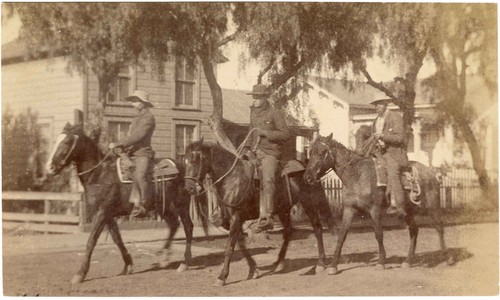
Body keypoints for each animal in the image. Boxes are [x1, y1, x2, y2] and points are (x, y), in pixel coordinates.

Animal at [45, 123, 205, 284]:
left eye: (66, 142)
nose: (49, 167)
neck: (100, 174)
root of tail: (184, 169)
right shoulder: (108, 215)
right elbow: (117, 239)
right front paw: (128, 265)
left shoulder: (102, 213)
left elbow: (91, 241)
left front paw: (80, 274)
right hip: (163, 207)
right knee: (173, 225)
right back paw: (164, 257)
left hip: (181, 205)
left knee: (188, 227)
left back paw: (184, 263)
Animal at [184, 139, 336, 288]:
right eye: (184, 160)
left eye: (194, 160)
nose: (189, 188)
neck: (233, 178)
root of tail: (308, 167)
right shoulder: (233, 220)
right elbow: (240, 245)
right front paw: (253, 269)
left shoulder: (236, 218)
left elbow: (229, 247)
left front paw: (222, 277)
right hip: (283, 210)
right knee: (288, 232)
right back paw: (279, 263)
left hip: (309, 203)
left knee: (317, 228)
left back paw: (320, 263)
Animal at [302, 135, 452, 276]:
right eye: (311, 152)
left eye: (322, 152)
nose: (307, 177)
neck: (357, 176)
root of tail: (431, 172)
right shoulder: (349, 209)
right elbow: (342, 235)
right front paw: (333, 266)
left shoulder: (375, 210)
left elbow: (378, 234)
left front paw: (381, 262)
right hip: (408, 211)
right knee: (414, 230)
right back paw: (408, 261)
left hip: (432, 206)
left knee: (439, 228)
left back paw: (447, 258)